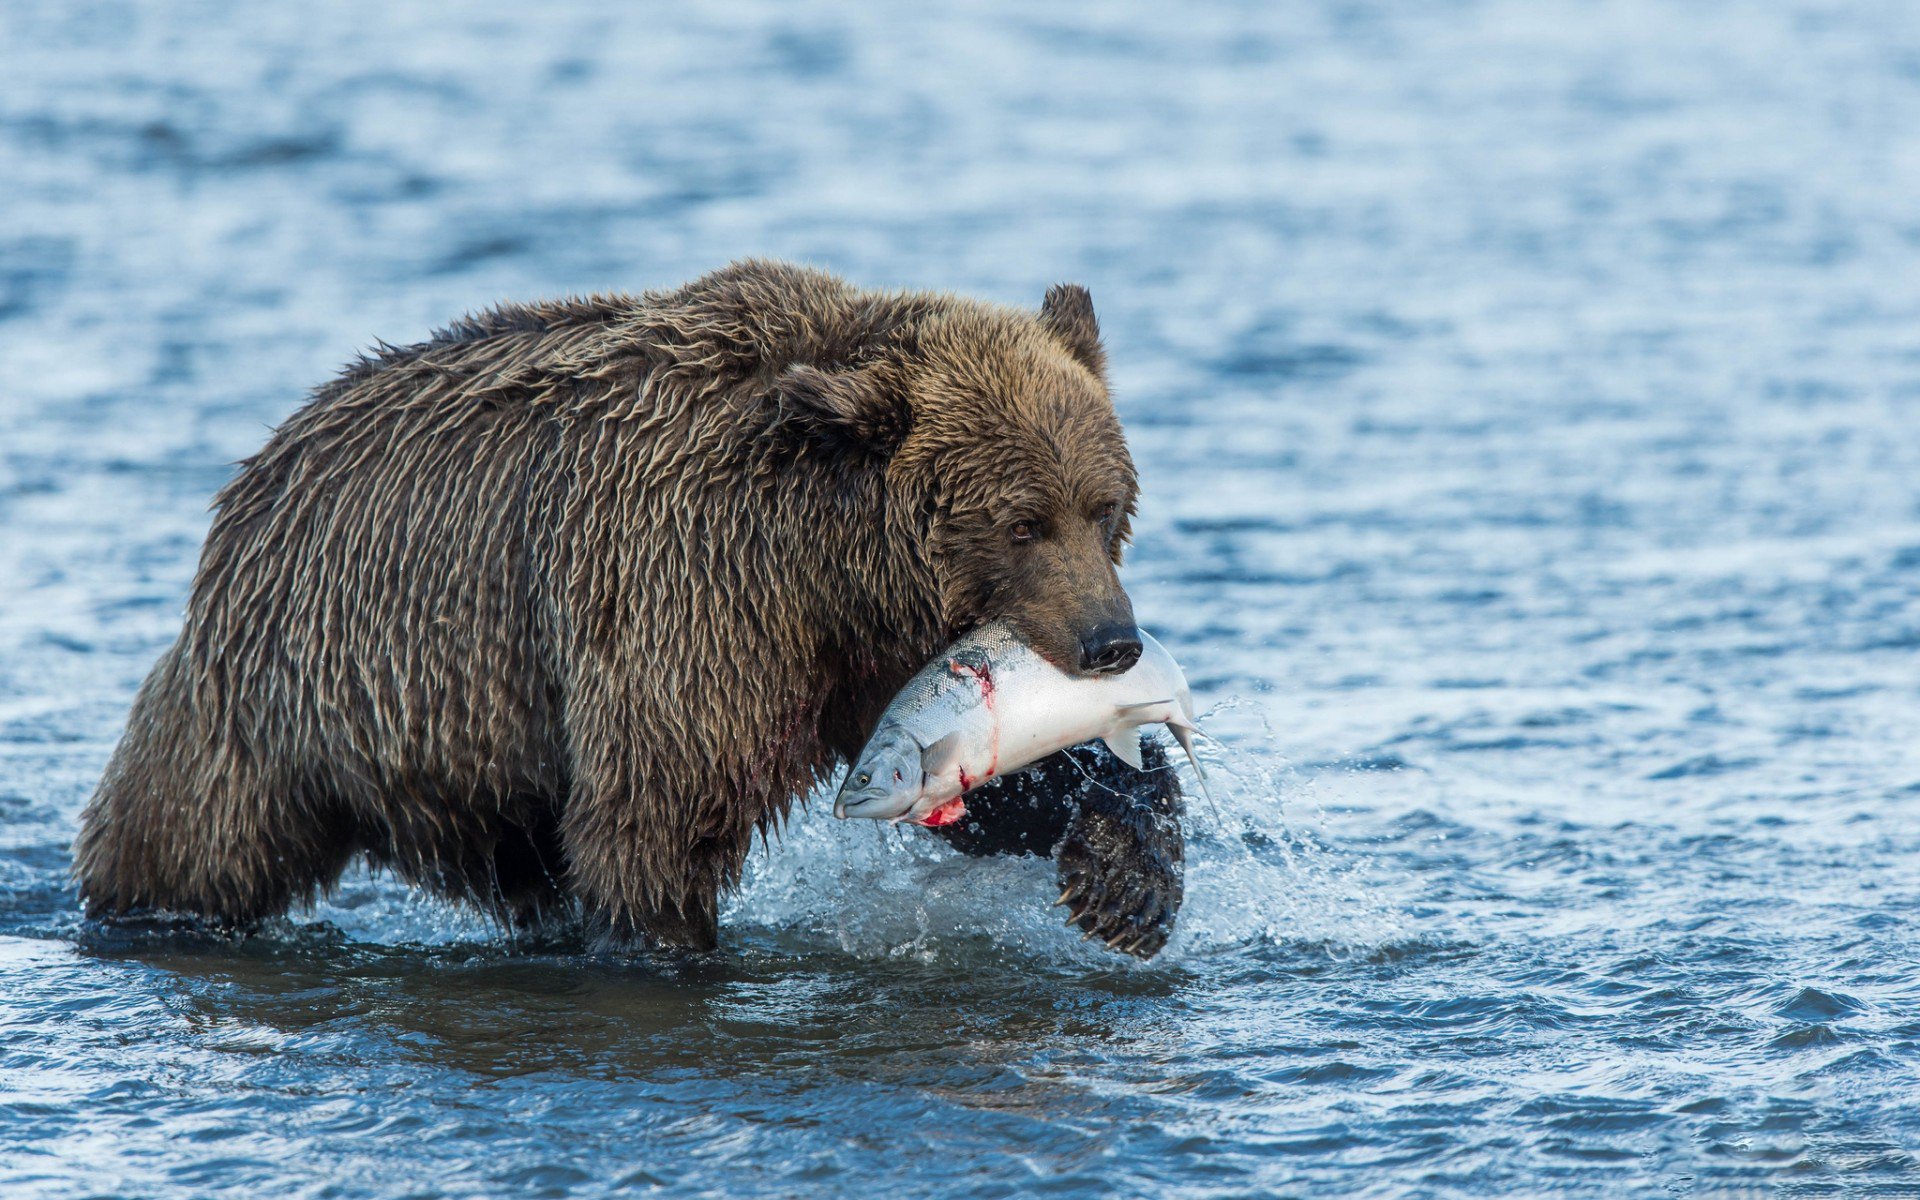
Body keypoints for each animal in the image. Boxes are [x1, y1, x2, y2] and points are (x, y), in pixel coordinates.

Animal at [73, 259, 1184, 956]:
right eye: (1022, 522)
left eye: (1104, 505)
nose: (1112, 642)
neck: (825, 561)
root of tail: (258, 471)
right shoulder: (684, 595)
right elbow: (658, 817)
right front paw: (670, 940)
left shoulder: (857, 657)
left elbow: (989, 783)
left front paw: (1123, 878)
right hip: (296, 690)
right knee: (189, 836)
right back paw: (139, 910)